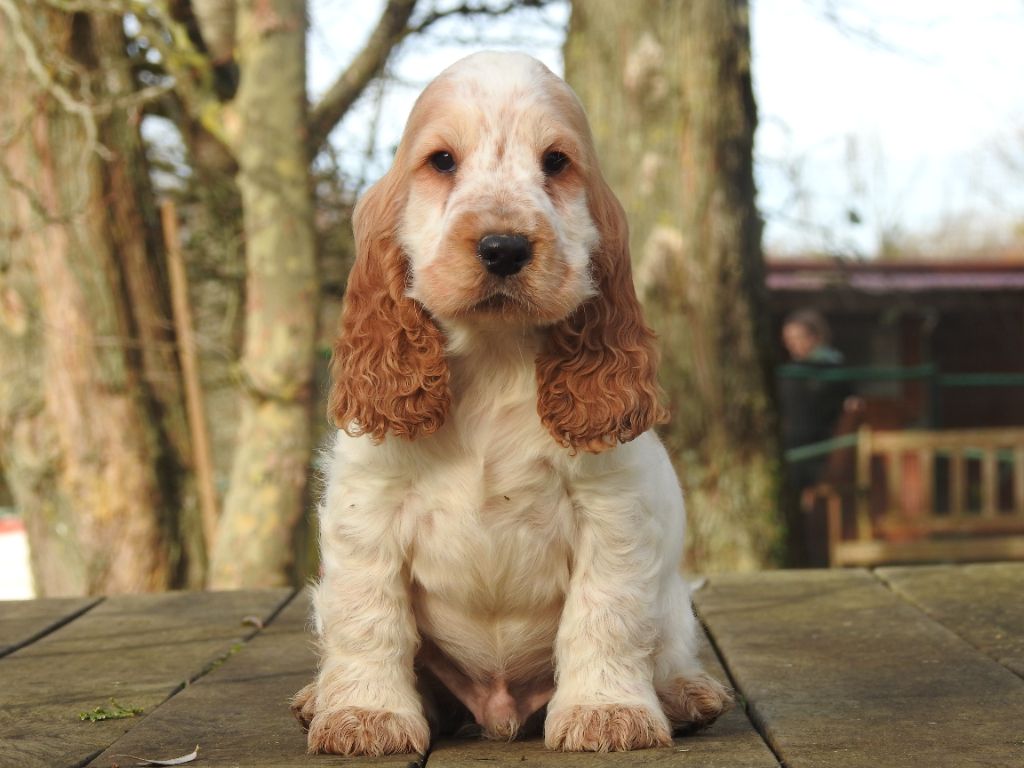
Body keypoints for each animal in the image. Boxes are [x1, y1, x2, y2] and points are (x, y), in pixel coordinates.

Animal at [292, 52, 733, 757]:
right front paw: (366, 715)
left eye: (555, 161)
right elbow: (368, 617)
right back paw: (321, 699)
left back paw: (686, 695)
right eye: (442, 160)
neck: (496, 357)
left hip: (670, 604)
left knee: (665, 647)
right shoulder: (369, 508)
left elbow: (604, 613)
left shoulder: (612, 508)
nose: (503, 247)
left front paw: (606, 712)